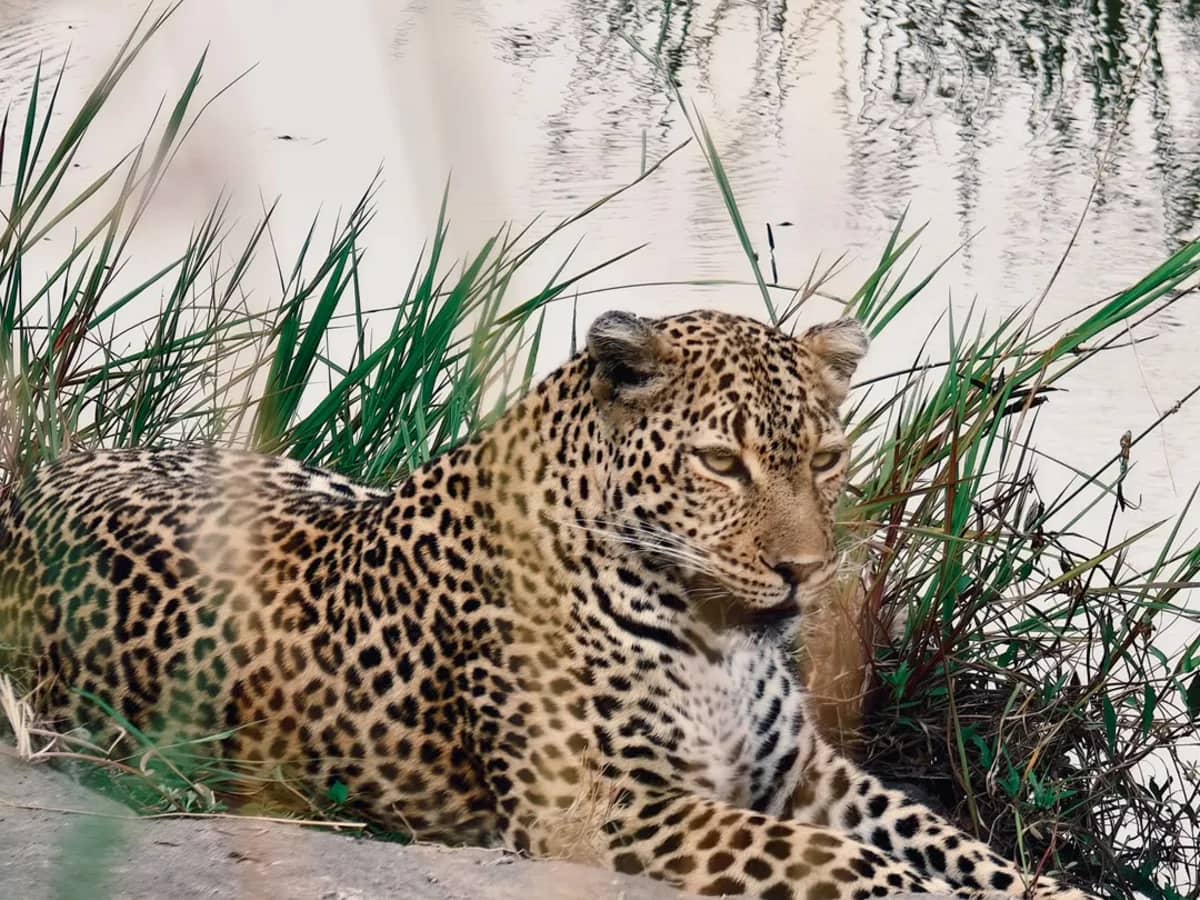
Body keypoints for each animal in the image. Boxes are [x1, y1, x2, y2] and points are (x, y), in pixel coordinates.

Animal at [0, 309, 1096, 900]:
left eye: (824, 458)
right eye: (720, 462)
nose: (804, 572)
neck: (718, 640)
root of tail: (45, 475)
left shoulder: (807, 775)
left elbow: (949, 840)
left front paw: (1055, 887)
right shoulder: (597, 808)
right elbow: (845, 860)